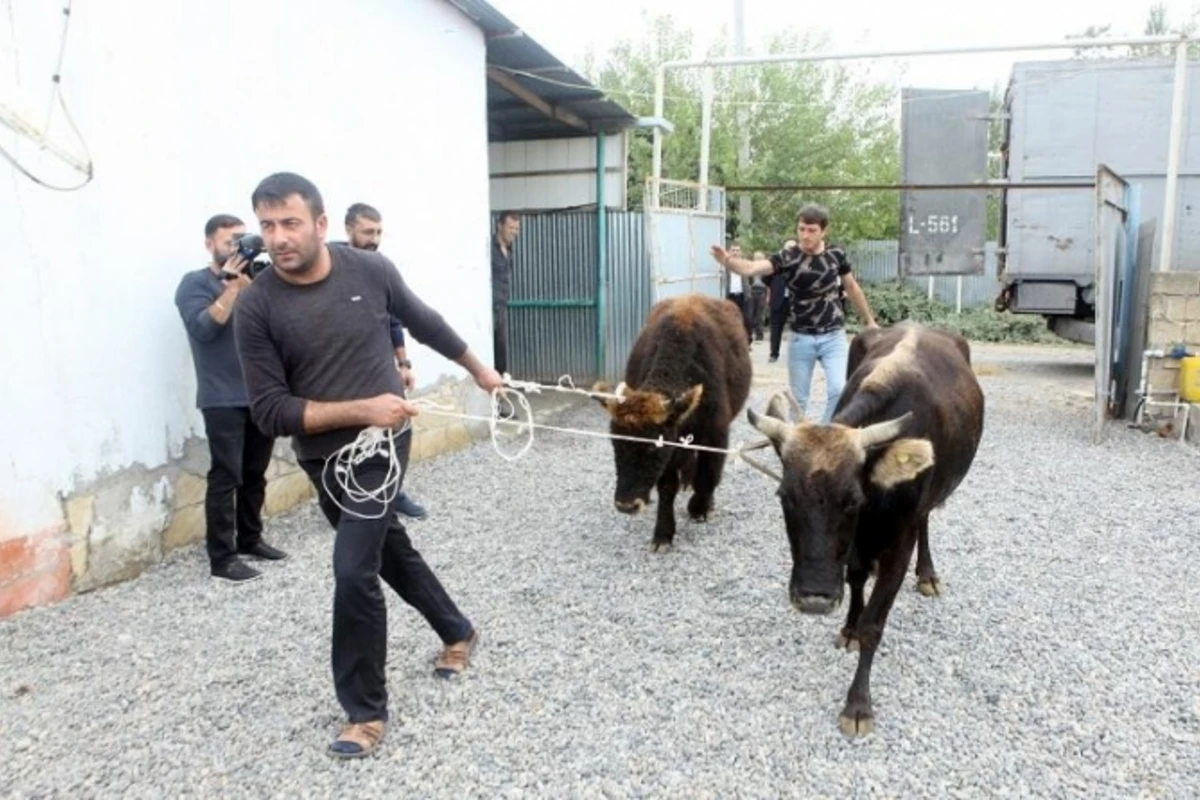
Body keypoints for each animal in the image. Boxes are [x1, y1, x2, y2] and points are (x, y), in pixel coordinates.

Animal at [592, 292, 748, 551]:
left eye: (654, 449)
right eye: (615, 444)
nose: (626, 505)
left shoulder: (716, 434)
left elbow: (709, 474)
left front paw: (700, 508)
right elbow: (667, 487)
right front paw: (663, 534)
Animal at [748, 321, 984, 734]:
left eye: (852, 500)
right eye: (784, 495)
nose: (814, 599)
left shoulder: (899, 543)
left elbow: (875, 624)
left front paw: (857, 704)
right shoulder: (853, 546)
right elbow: (855, 578)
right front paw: (849, 628)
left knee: (926, 520)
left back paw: (928, 574)